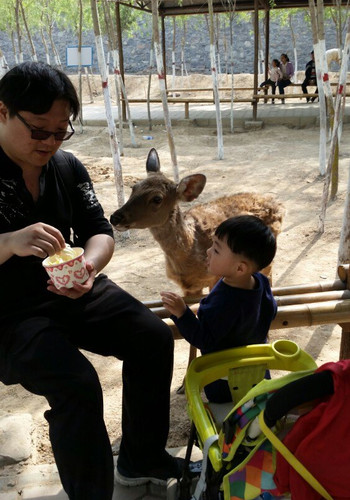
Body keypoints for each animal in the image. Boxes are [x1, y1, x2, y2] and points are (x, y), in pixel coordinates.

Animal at [110, 148, 284, 390]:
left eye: (157, 198)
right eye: (134, 187)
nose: (115, 216)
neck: (190, 249)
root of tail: (276, 201)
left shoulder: (214, 279)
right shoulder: (188, 287)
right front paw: (183, 383)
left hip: (267, 257)